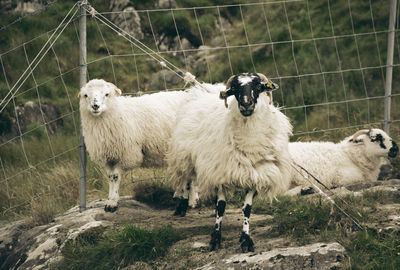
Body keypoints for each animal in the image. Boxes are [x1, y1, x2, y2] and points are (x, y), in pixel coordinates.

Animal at [79, 79, 191, 212]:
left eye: (107, 94)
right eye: (86, 95)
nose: (95, 106)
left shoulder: (126, 154)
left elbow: (116, 176)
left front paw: (113, 202)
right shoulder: (108, 157)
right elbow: (110, 177)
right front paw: (110, 200)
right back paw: (180, 195)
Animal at [167, 73, 292, 252]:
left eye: (258, 86)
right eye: (235, 89)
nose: (246, 104)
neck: (249, 141)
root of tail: (205, 88)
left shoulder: (255, 174)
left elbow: (247, 209)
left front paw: (245, 239)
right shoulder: (220, 172)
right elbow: (221, 207)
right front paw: (215, 238)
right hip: (184, 155)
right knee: (187, 180)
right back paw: (182, 206)